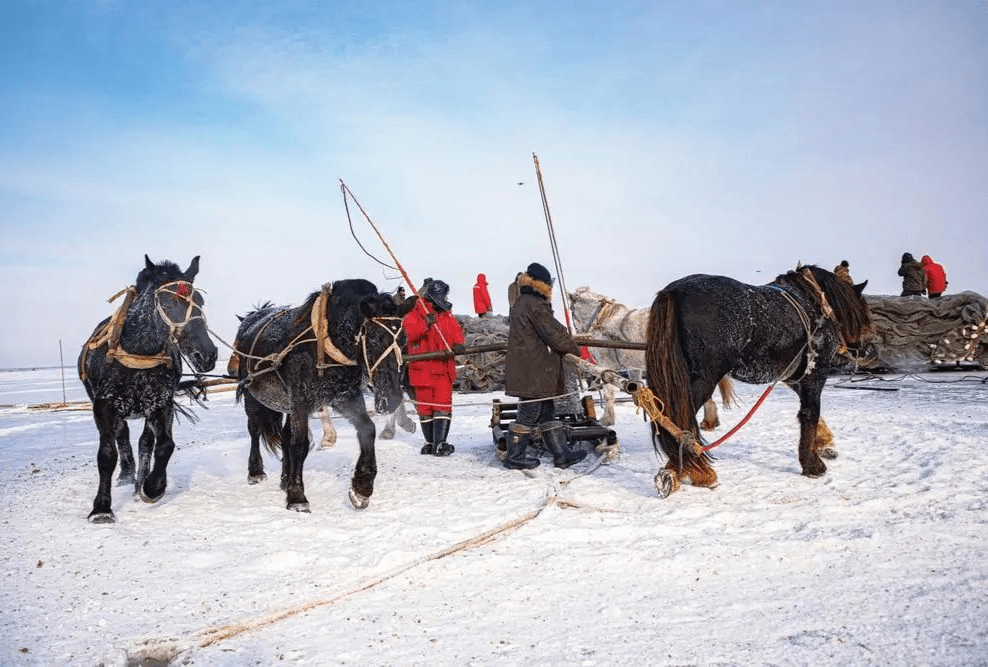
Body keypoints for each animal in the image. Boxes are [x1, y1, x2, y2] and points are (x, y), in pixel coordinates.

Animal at [78, 256, 218, 520]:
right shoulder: (103, 406)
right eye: (170, 302)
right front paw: (101, 508)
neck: (137, 355)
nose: (206, 354)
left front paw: (152, 487)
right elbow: (107, 454)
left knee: (145, 442)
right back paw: (126, 474)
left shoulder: (161, 404)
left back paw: (138, 483)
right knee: (122, 435)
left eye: (201, 301)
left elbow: (164, 446)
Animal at [232, 280, 416, 516]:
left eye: (403, 340)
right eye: (374, 339)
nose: (392, 398)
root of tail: (251, 318)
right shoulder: (300, 402)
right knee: (254, 430)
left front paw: (362, 488)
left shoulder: (345, 397)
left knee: (285, 436)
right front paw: (297, 497)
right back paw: (256, 471)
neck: (327, 341)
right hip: (252, 396)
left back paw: (285, 478)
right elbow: (300, 445)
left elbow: (367, 430)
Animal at [572, 286, 732, 430]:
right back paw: (710, 421)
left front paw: (607, 419)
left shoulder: (605, 366)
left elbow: (608, 393)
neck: (603, 320)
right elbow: (636, 388)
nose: (579, 333)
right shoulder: (633, 366)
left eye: (572, 312)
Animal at [644, 264, 868, 498]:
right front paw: (812, 464)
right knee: (680, 420)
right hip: (702, 381)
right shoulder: (814, 375)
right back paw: (694, 471)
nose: (865, 349)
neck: (814, 301)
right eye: (862, 312)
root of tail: (673, 292)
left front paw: (824, 444)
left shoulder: (793, 376)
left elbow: (808, 413)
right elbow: (810, 413)